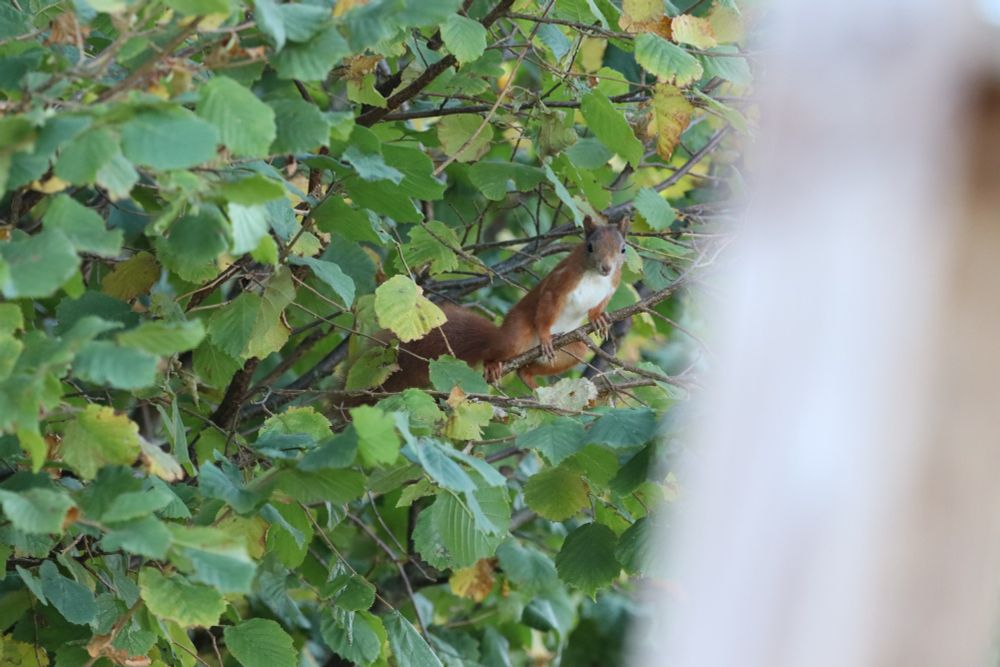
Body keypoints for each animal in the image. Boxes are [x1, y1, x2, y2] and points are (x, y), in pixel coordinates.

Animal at [381, 216, 629, 391]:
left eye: (623, 249)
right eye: (590, 246)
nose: (606, 267)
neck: (595, 277)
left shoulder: (612, 285)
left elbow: (600, 304)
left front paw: (599, 319)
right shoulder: (561, 283)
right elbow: (547, 305)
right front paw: (546, 336)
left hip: (572, 349)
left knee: (527, 368)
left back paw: (528, 377)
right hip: (515, 336)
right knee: (494, 351)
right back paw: (493, 364)